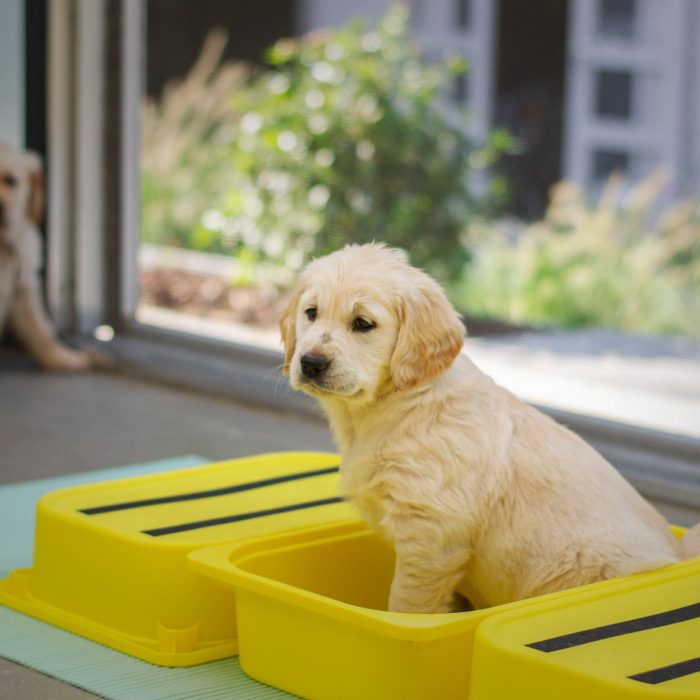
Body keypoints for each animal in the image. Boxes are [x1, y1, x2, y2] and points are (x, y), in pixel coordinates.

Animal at [282, 242, 700, 612]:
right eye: (311, 313)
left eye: (363, 324)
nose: (311, 362)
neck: (393, 406)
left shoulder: (429, 536)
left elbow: (408, 605)